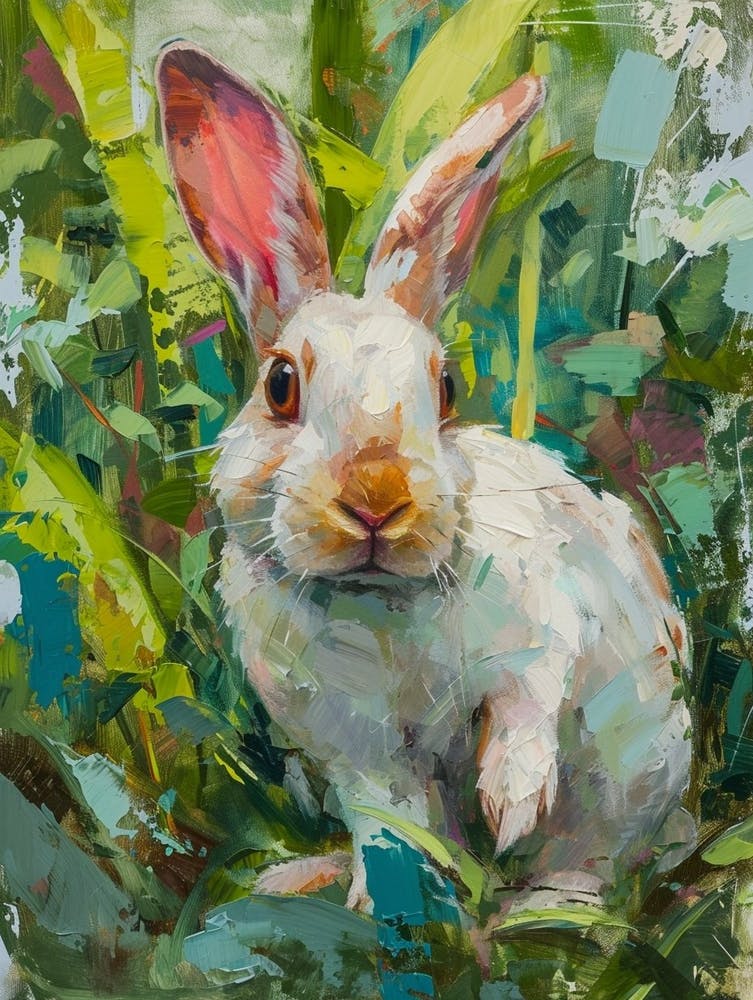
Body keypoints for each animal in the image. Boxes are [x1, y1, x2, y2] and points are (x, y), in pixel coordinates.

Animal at [156, 43, 695, 911]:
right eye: (280, 385)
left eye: (444, 389)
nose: (377, 499)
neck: (375, 599)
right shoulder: (358, 751)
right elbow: (391, 821)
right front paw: (381, 903)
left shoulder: (541, 633)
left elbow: (526, 708)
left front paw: (509, 806)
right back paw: (302, 877)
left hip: (634, 775)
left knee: (591, 860)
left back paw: (548, 903)